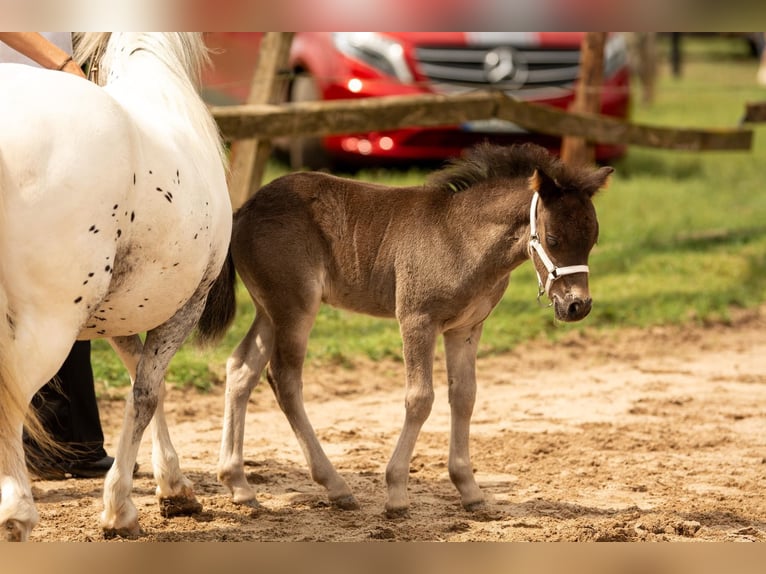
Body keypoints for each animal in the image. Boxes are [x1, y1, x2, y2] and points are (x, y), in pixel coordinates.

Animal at [0, 33, 232, 544]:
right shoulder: (186, 305)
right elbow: (145, 395)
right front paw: (120, 508)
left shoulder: (122, 314)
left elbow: (145, 385)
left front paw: (174, 487)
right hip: (48, 326)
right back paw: (17, 514)